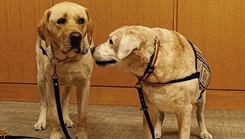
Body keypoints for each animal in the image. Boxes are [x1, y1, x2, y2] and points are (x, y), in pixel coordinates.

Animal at [33, 1, 93, 138]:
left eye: (81, 20)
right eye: (61, 21)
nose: (76, 37)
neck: (67, 59)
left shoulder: (84, 83)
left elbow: (82, 116)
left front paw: (82, 135)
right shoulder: (51, 83)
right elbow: (54, 115)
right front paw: (55, 134)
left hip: (70, 83)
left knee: (65, 99)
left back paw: (66, 119)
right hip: (41, 79)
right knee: (43, 102)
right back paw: (41, 122)